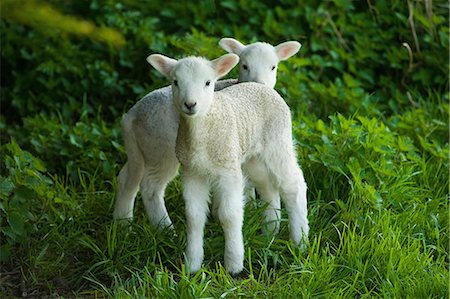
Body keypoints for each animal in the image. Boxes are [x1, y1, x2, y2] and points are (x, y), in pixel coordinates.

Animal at [112, 38, 302, 232]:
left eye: (273, 67)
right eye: (244, 66)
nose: (259, 84)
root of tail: (131, 116)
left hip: (142, 150)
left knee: (127, 179)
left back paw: (122, 225)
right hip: (161, 150)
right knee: (152, 186)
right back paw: (165, 230)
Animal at [148, 52, 310, 276]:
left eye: (208, 82)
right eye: (175, 82)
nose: (190, 104)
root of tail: (262, 86)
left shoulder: (228, 172)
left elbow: (229, 215)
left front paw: (233, 265)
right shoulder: (192, 172)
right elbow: (194, 217)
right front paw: (192, 265)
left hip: (277, 140)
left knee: (293, 185)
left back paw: (300, 241)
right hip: (250, 155)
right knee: (267, 186)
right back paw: (270, 231)